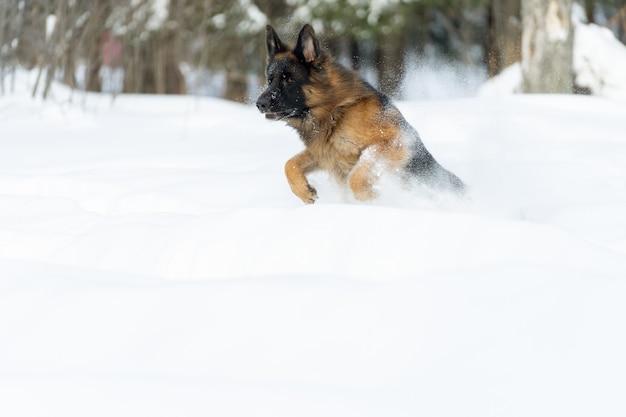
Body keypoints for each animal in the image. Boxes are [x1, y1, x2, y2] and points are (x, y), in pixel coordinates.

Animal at [254, 24, 464, 203]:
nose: (259, 104)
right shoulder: (326, 153)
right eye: (270, 79)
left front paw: (370, 198)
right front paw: (304, 192)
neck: (335, 111)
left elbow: (357, 175)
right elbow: (289, 164)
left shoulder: (392, 141)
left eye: (288, 80)